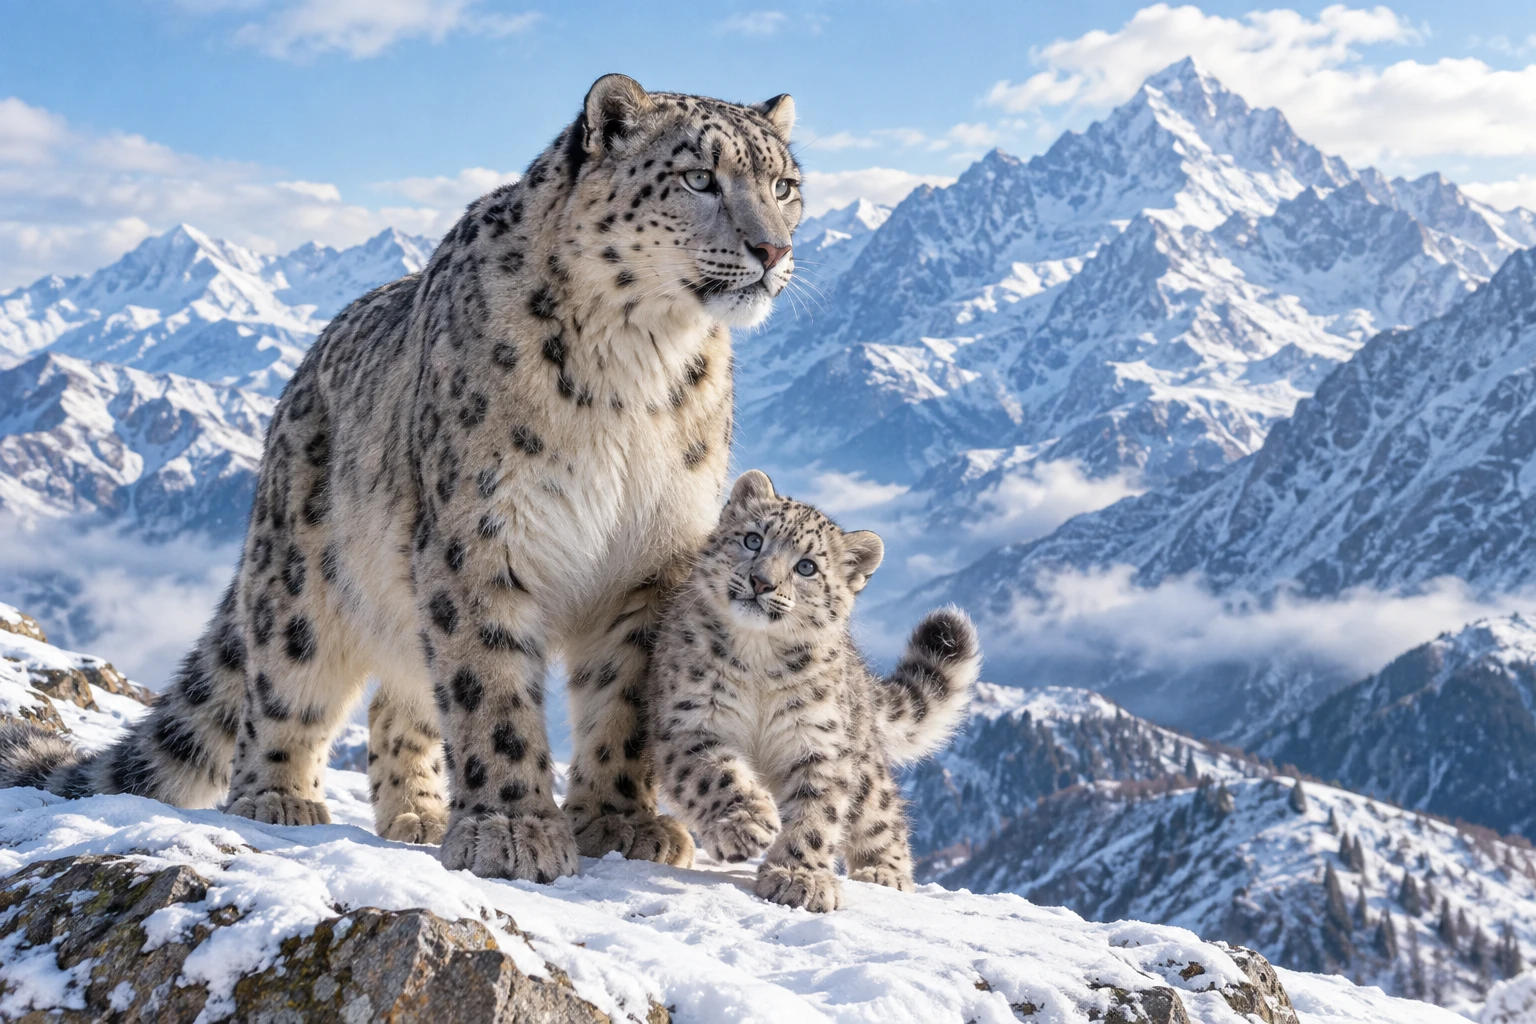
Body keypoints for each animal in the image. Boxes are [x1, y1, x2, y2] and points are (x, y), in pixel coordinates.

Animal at [0, 74, 803, 883]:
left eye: (785, 186)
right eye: (698, 178)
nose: (774, 247)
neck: (637, 367)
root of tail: (293, 389)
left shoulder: (651, 557)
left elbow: (625, 701)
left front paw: (621, 822)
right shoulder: (481, 534)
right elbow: (490, 689)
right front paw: (512, 828)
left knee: (400, 700)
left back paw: (418, 814)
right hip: (303, 581)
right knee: (283, 682)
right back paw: (278, 798)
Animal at [649, 470, 981, 911]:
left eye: (806, 567)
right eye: (753, 539)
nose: (761, 581)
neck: (758, 658)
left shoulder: (817, 741)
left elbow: (816, 811)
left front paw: (798, 877)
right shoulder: (689, 722)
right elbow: (716, 775)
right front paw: (747, 826)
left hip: (865, 768)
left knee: (883, 815)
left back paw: (885, 873)